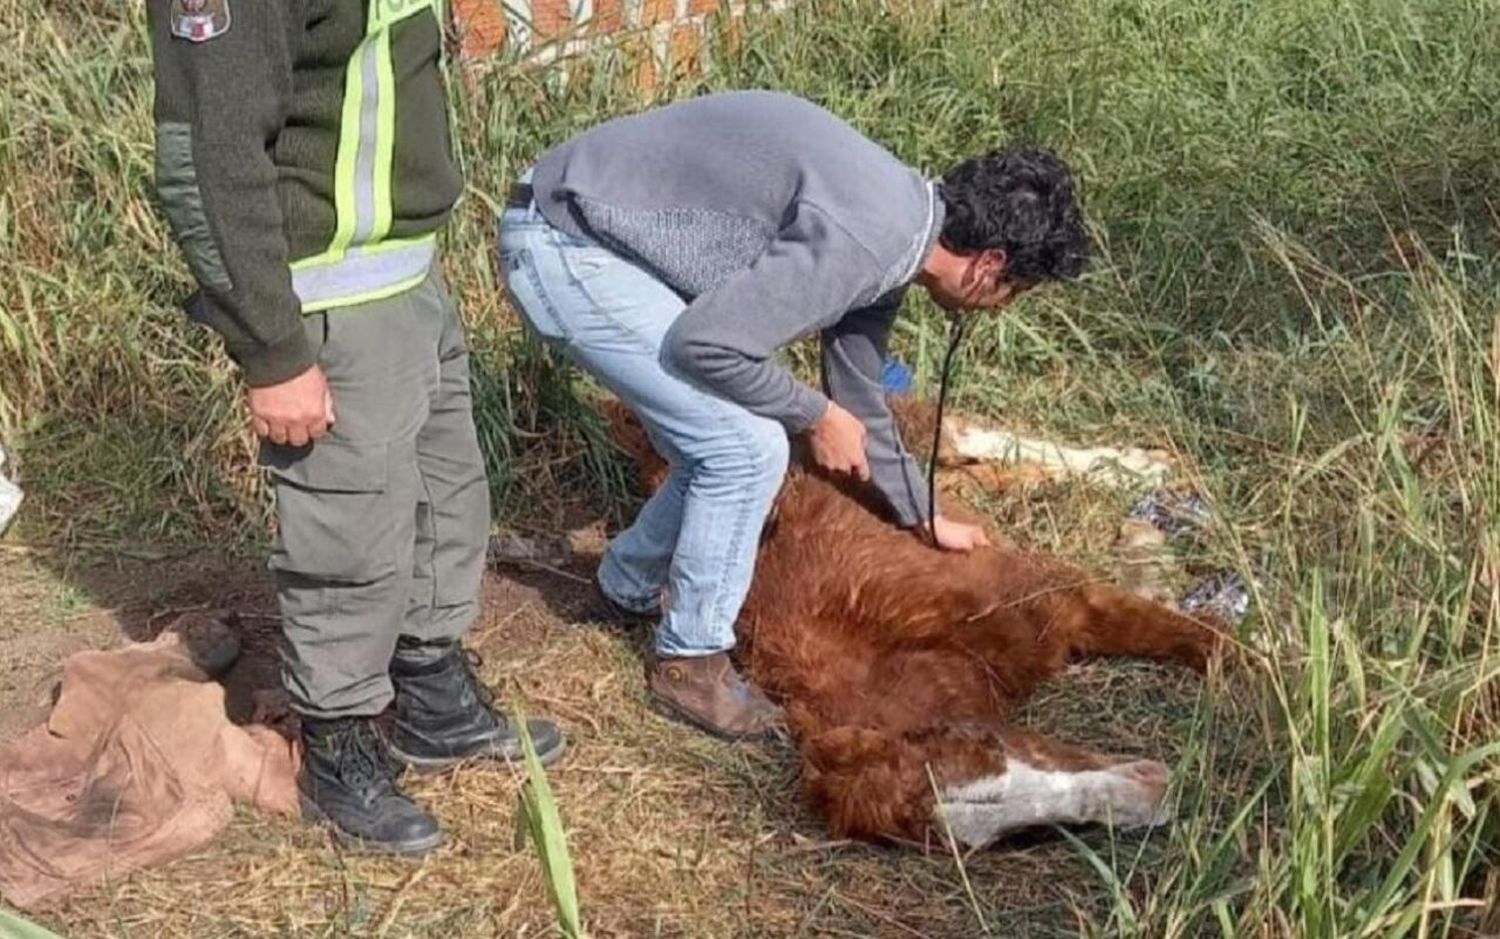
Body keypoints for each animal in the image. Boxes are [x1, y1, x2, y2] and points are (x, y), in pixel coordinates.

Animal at [600, 399, 1230, 846]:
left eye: (988, 743)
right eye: (1004, 835)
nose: (1156, 790)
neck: (907, 648)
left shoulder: (1063, 597)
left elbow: (1206, 643)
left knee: (960, 432)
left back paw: (1145, 466)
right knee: (987, 468)